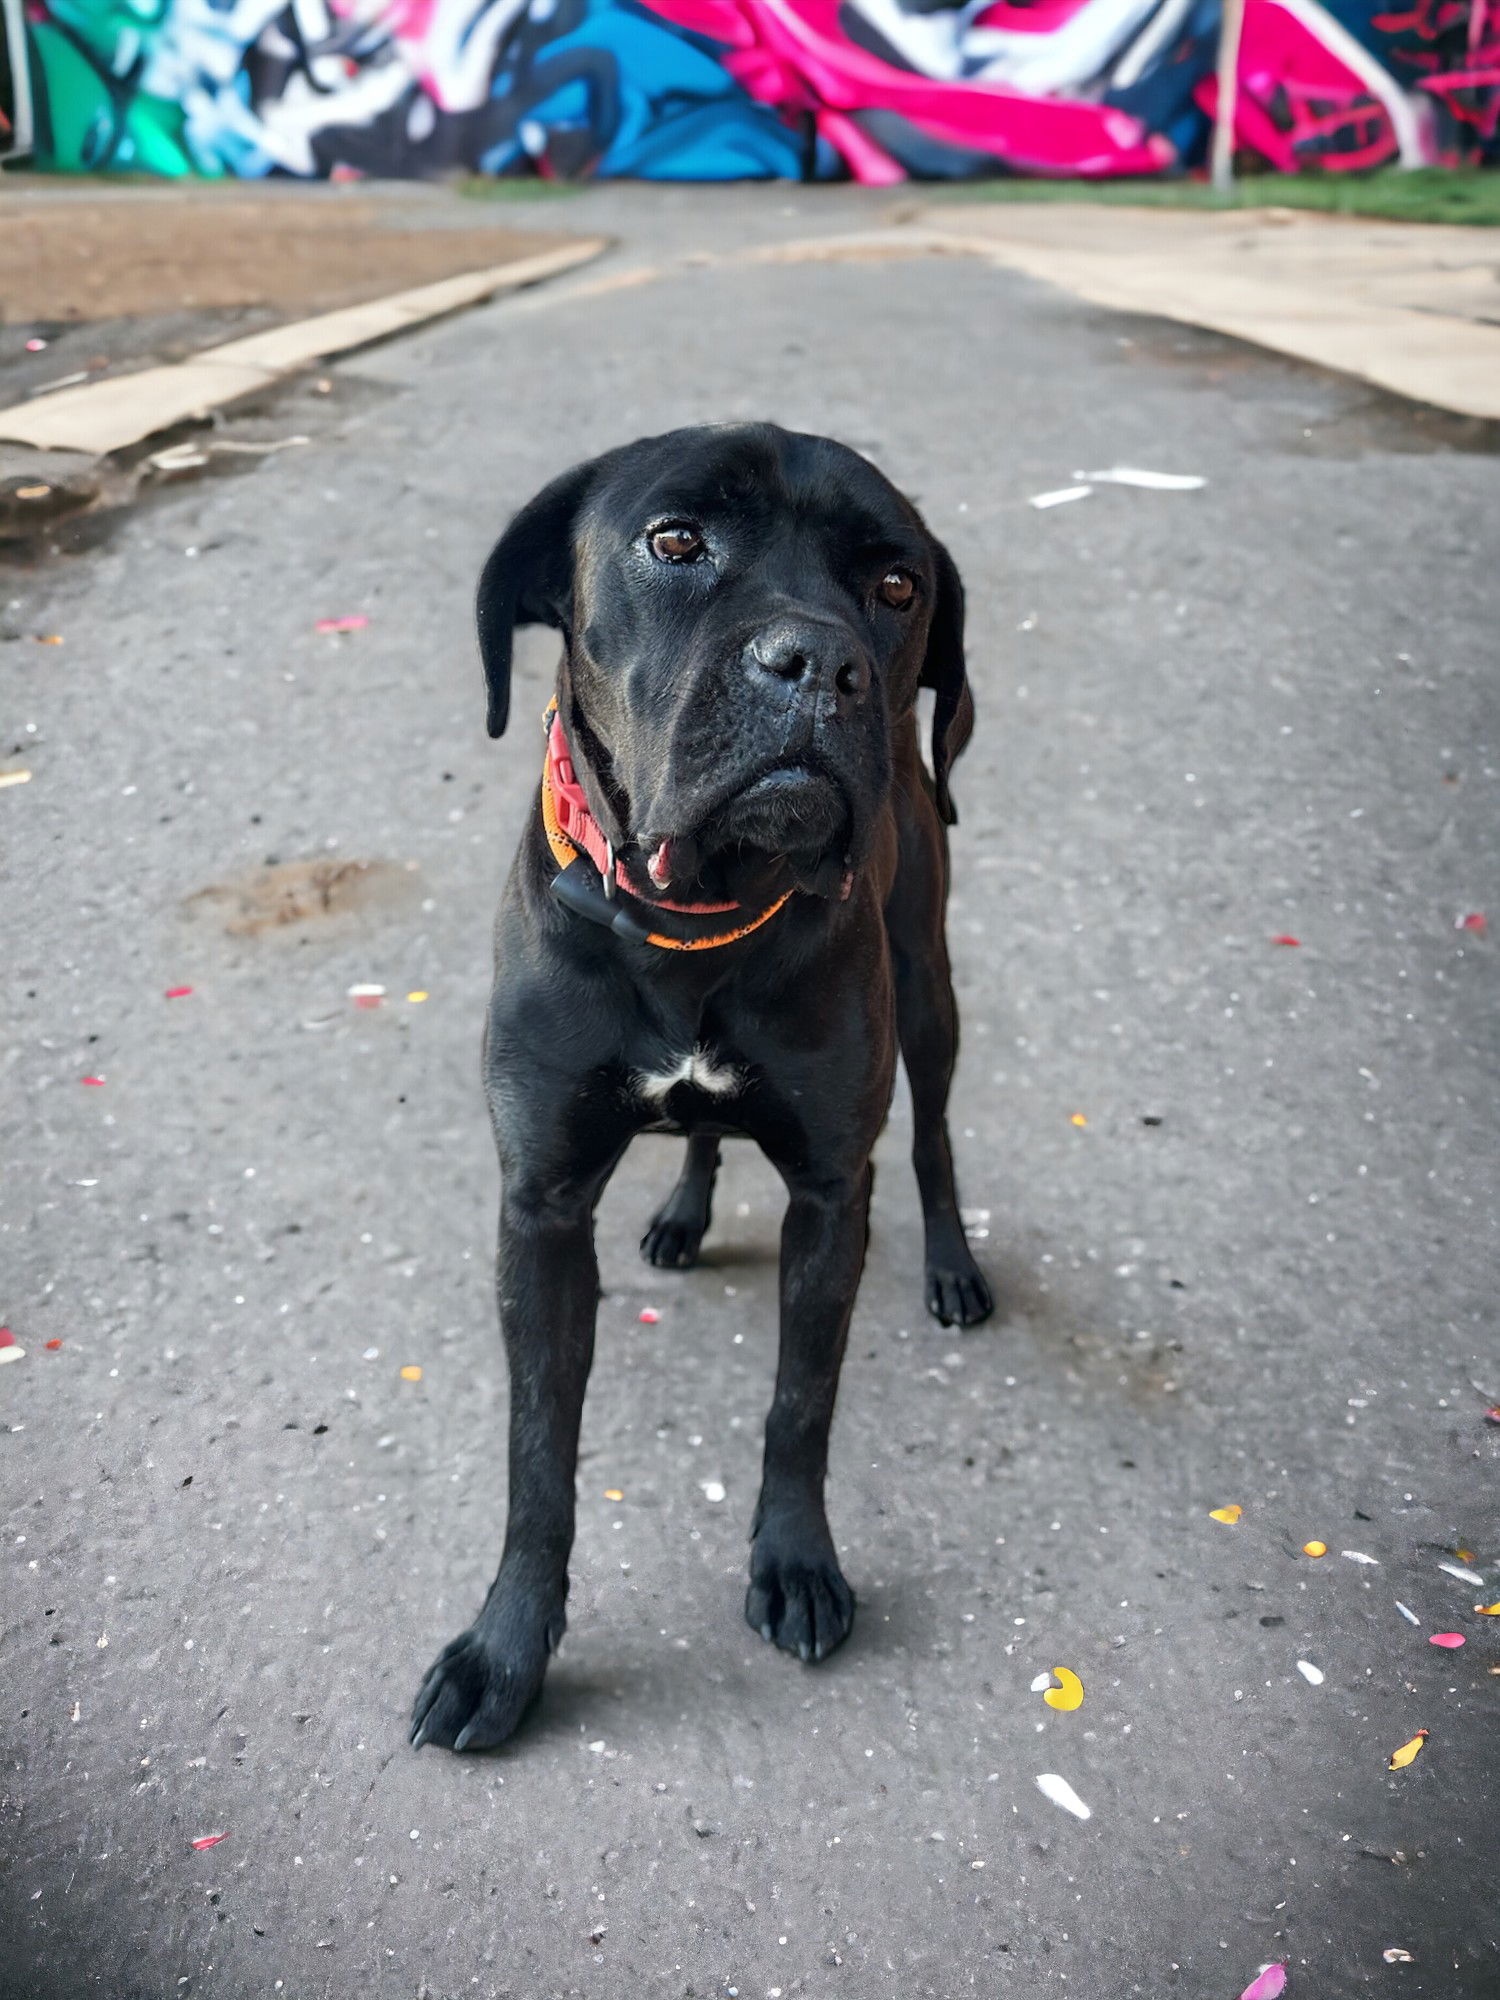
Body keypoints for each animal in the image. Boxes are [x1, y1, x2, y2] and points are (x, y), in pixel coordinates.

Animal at [414, 422, 1000, 1752]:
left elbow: (799, 1402)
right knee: (702, 1129)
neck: (698, 919)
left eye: (898, 585)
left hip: (929, 992)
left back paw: (951, 1262)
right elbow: (540, 1449)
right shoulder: (540, 1207)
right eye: (676, 539)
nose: (818, 662)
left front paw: (795, 1563)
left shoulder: (833, 1192)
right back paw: (683, 1211)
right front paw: (504, 1650)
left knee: (934, 1137)